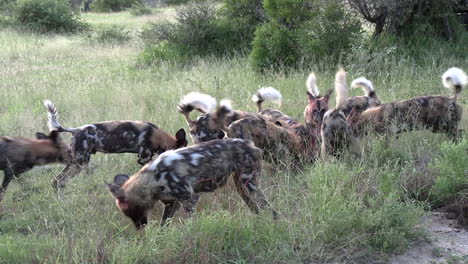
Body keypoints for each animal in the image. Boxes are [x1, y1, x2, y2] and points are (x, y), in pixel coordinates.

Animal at [44, 100, 188, 191]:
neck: (157, 135)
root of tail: (76, 130)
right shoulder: (144, 158)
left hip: (74, 162)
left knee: (56, 182)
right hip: (80, 163)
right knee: (60, 181)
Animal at [107, 138, 278, 229]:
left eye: (130, 211)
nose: (140, 228)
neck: (152, 179)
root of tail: (249, 143)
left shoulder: (190, 198)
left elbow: (188, 224)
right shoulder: (171, 203)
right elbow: (164, 226)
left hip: (249, 185)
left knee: (271, 210)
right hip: (242, 189)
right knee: (258, 210)